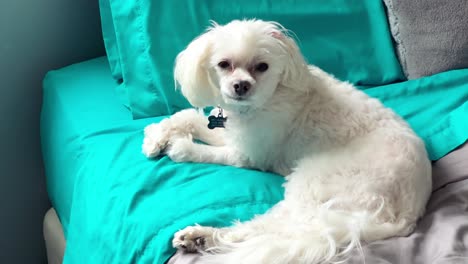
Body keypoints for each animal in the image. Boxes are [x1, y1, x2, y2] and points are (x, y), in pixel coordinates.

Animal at [142, 19, 432, 262]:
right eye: (224, 64)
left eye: (262, 67)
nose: (241, 86)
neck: (269, 97)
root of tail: (408, 213)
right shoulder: (230, 129)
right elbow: (188, 117)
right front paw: (156, 137)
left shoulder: (247, 154)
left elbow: (209, 151)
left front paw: (181, 147)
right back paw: (200, 239)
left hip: (313, 184)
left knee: (273, 228)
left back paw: (203, 235)